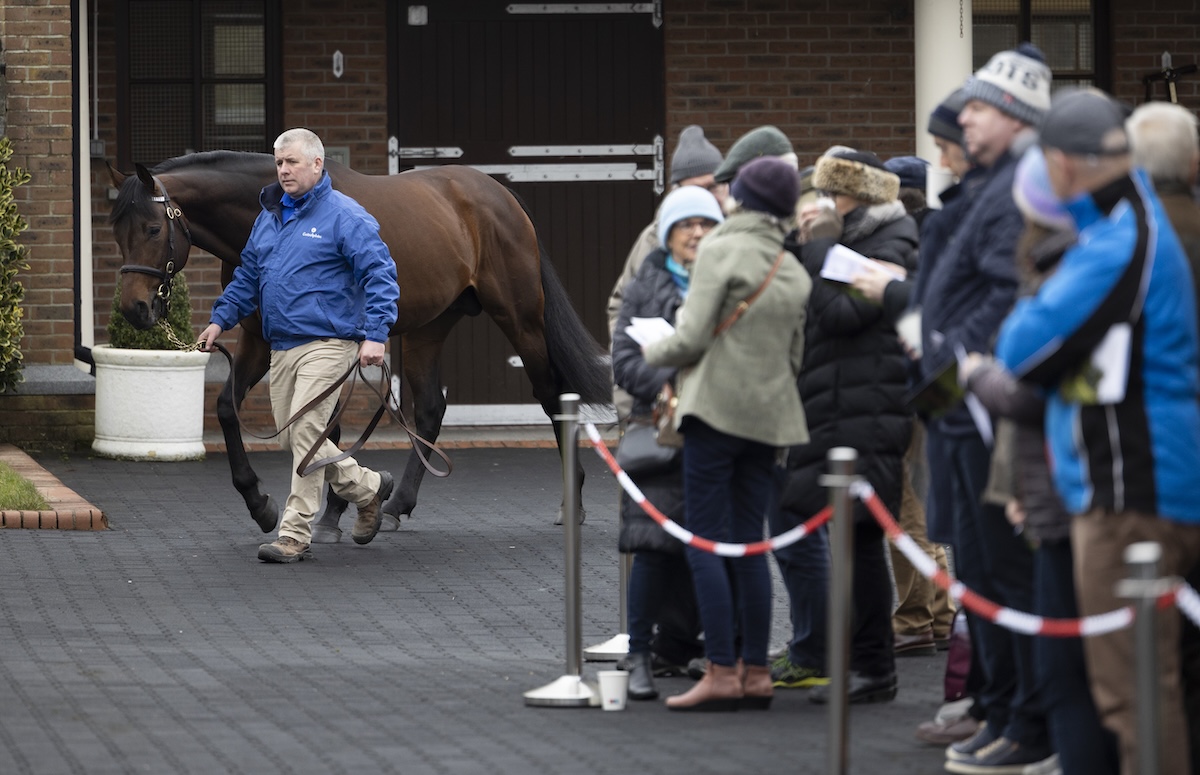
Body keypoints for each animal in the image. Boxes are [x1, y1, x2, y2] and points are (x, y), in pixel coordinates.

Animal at [108, 152, 614, 539]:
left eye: (152, 229)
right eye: (116, 231)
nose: (135, 308)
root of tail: (500, 196)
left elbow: (326, 426)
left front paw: (330, 510)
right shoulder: (259, 338)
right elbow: (232, 409)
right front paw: (265, 504)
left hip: (521, 320)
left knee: (551, 397)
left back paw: (572, 502)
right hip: (430, 327)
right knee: (430, 409)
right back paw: (397, 505)